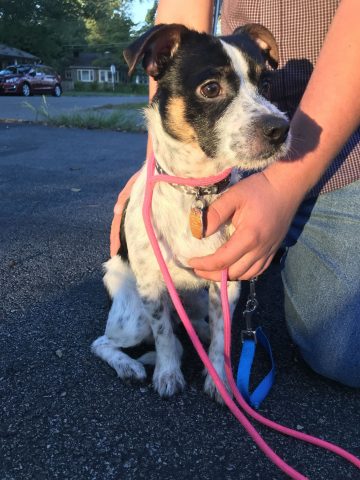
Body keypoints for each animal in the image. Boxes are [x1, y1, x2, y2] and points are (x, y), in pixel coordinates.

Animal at [92, 24, 290, 404]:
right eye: (210, 88)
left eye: (266, 84)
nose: (280, 129)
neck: (197, 189)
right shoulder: (152, 288)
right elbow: (164, 337)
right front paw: (168, 373)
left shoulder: (227, 284)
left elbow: (222, 339)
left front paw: (220, 381)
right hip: (133, 317)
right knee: (103, 342)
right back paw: (130, 366)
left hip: (197, 301)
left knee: (197, 327)